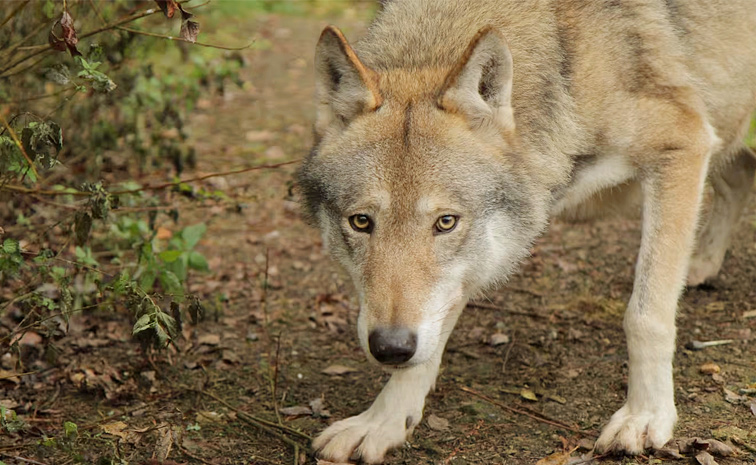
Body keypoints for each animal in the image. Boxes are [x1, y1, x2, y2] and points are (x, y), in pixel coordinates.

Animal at [297, 0, 756, 462]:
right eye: (361, 222)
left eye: (445, 222)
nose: (390, 347)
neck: (566, 66)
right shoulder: (481, 254)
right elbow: (429, 343)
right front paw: (383, 421)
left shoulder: (683, 145)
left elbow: (645, 315)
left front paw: (645, 416)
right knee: (741, 175)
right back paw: (702, 263)